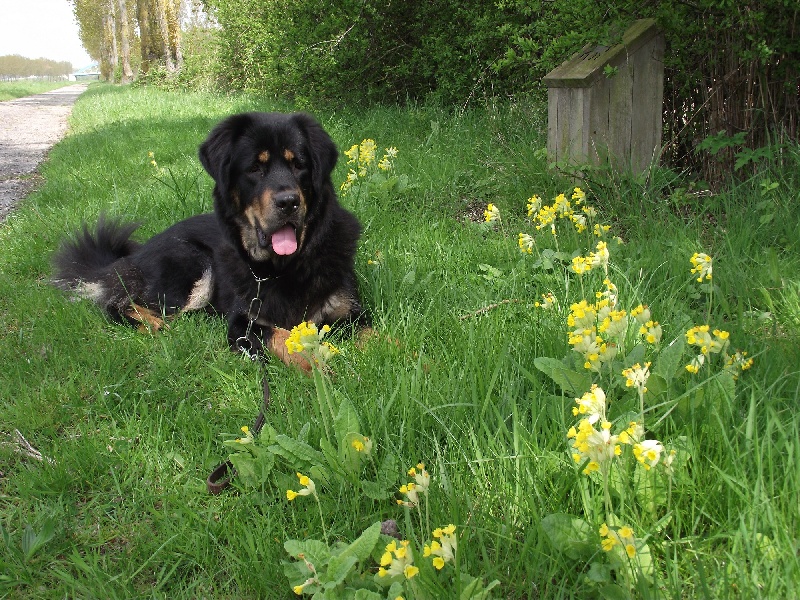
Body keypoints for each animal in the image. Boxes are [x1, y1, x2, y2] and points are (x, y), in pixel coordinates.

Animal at [54, 110, 368, 368]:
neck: (284, 268)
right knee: (117, 303)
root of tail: (131, 257)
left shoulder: (352, 311)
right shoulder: (243, 324)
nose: (289, 202)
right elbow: (285, 339)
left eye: (298, 165)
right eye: (255, 168)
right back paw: (154, 325)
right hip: (191, 263)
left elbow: (372, 335)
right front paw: (320, 368)